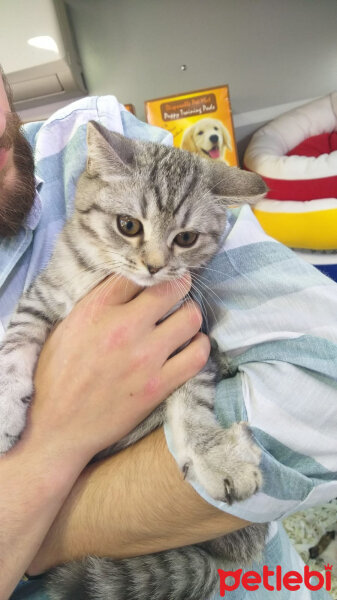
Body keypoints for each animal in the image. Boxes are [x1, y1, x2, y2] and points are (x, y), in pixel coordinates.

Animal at [0, 123, 268, 600]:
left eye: (186, 238)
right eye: (128, 226)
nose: (154, 266)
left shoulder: (191, 338)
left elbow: (193, 403)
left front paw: (216, 456)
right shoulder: (42, 296)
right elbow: (16, 339)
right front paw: (7, 405)